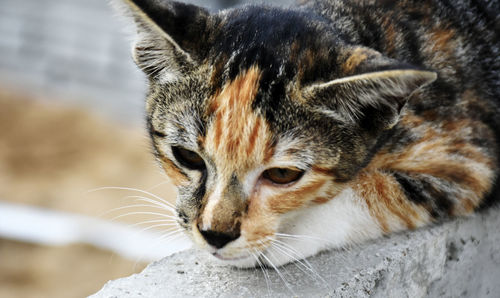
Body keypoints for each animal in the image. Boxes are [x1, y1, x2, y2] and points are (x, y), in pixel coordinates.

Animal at [113, 0, 500, 268]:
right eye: (187, 156)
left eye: (283, 174)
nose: (215, 234)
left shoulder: (469, 155)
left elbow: (375, 192)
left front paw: (276, 240)